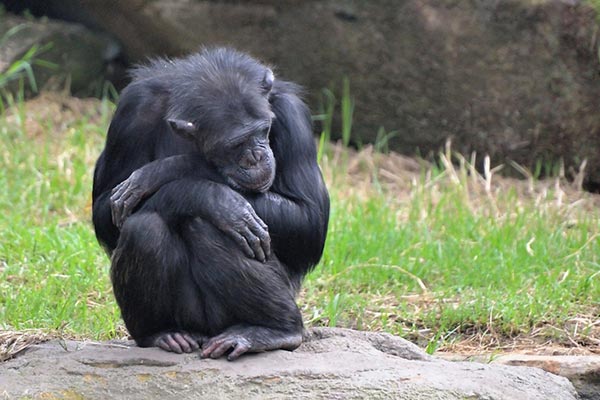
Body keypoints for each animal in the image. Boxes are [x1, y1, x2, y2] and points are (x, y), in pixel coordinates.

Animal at [91, 47, 330, 360]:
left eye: (263, 131)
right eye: (236, 143)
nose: (257, 157)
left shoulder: (292, 115)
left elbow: (309, 219)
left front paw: (173, 169)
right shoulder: (131, 111)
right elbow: (105, 208)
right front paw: (213, 198)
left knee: (210, 227)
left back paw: (274, 330)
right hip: (191, 319)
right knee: (143, 228)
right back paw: (162, 333)